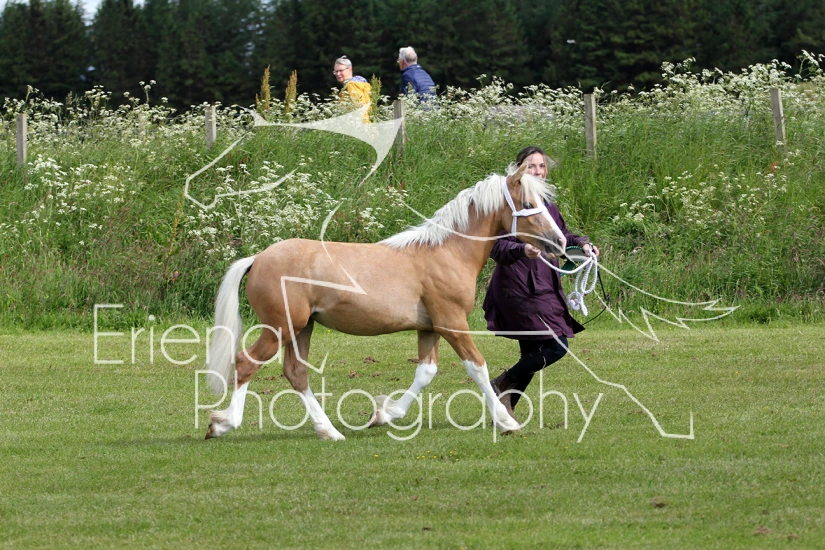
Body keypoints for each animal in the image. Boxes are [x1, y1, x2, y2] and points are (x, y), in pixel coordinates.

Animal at [204, 162, 566, 440]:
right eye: (527, 202)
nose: (560, 242)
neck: (446, 252)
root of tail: (258, 258)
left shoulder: (430, 328)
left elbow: (425, 372)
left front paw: (384, 414)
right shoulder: (452, 323)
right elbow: (476, 366)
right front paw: (506, 421)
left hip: (301, 329)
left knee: (296, 374)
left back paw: (329, 431)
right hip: (279, 327)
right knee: (246, 363)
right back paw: (222, 424)